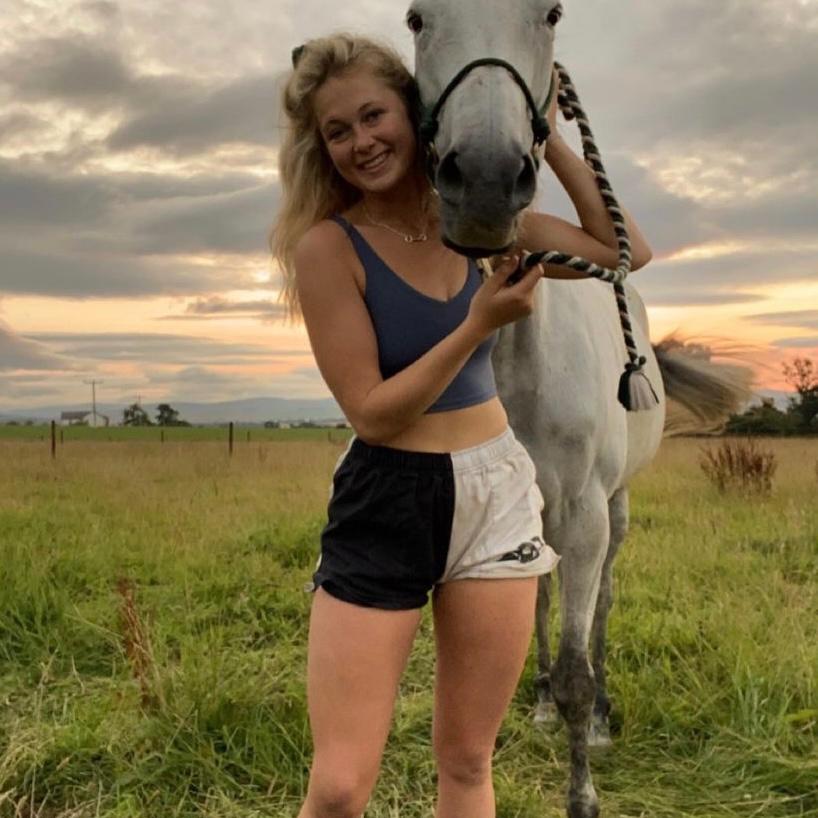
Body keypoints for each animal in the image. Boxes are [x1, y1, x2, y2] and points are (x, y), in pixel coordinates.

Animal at [408, 3, 752, 812]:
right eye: (416, 18)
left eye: (552, 14)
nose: (487, 180)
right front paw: (530, 704)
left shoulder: (584, 513)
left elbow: (577, 663)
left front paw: (583, 786)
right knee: (541, 598)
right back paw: (535, 700)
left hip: (615, 508)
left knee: (603, 603)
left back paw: (598, 718)